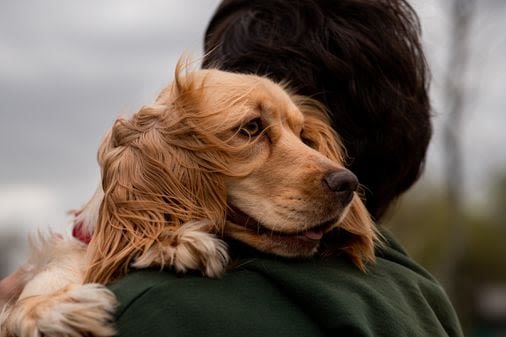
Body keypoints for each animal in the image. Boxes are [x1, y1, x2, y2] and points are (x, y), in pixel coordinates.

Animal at [0, 63, 378, 336]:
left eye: (303, 136)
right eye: (251, 128)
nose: (348, 183)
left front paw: (171, 241)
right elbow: (19, 308)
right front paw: (53, 310)